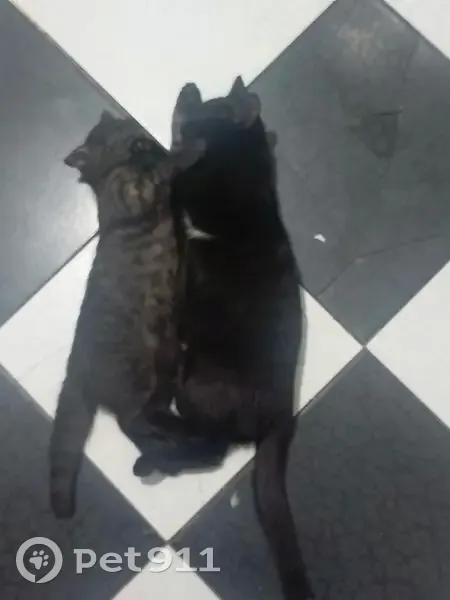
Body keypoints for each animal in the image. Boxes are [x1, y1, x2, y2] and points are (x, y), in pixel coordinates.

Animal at [49, 111, 204, 518]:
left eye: (120, 127)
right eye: (105, 141)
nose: (135, 137)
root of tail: (75, 369)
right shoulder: (134, 192)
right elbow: (165, 166)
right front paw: (191, 149)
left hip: (160, 375)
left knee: (144, 423)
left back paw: (172, 446)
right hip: (137, 379)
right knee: (131, 423)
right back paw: (169, 451)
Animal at [133, 79, 313, 600]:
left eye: (207, 106)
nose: (189, 85)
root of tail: (281, 417)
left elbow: (172, 172)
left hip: (200, 380)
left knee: (210, 443)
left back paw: (153, 437)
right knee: (211, 447)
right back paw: (155, 452)